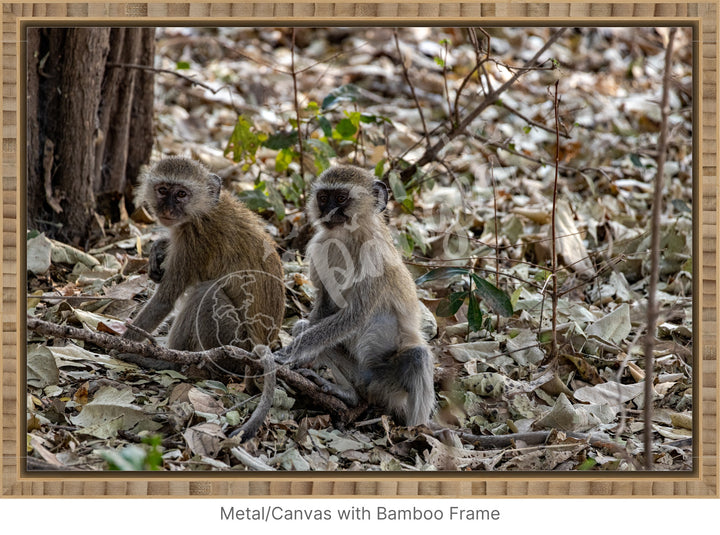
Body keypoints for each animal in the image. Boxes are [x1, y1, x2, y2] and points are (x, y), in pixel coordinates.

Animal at [278, 165, 434, 426]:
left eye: (341, 198)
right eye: (323, 197)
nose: (328, 211)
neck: (348, 237)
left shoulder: (375, 256)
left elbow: (356, 316)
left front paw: (287, 353)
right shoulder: (320, 246)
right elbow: (325, 307)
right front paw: (299, 358)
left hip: (390, 384)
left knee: (417, 356)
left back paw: (418, 429)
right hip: (359, 375)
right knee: (304, 328)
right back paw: (347, 393)